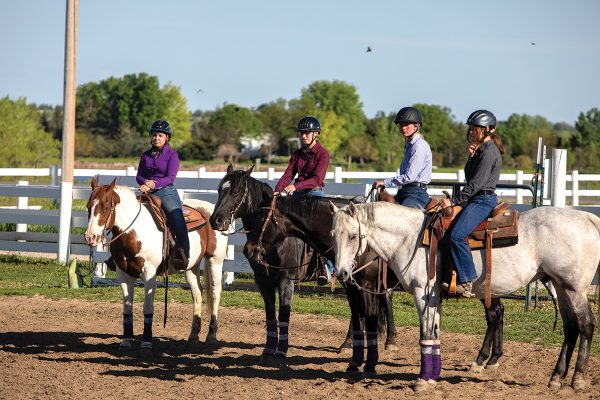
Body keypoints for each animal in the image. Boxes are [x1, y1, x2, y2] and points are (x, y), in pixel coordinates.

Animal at [86, 178, 230, 350]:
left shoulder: (149, 274)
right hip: (191, 265)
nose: (90, 237)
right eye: (88, 206)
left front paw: (147, 341)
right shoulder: (123, 275)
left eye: (106, 206)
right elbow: (127, 307)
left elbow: (148, 307)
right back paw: (193, 335)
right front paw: (126, 340)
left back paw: (211, 335)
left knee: (214, 293)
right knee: (197, 293)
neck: (133, 231)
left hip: (215, 260)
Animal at [209, 166, 396, 376]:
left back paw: (389, 340)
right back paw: (350, 343)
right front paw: (267, 351)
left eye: (235, 192)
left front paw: (280, 353)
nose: (216, 221)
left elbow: (284, 315)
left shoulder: (286, 279)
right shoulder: (262, 281)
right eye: (219, 190)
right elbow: (270, 316)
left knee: (383, 298)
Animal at [332, 200, 600, 390]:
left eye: (353, 236)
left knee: (586, 325)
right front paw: (432, 376)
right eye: (334, 235)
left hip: (574, 289)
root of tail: (587, 217)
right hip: (561, 287)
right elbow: (434, 334)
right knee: (570, 328)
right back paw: (555, 378)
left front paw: (422, 381)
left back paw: (577, 379)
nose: (342, 272)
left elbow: (425, 334)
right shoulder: (434, 298)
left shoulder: (422, 293)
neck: (411, 239)